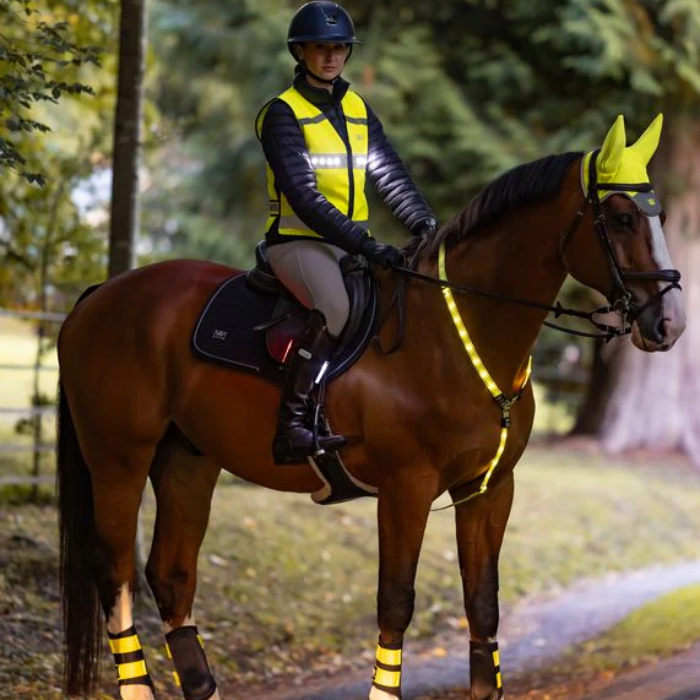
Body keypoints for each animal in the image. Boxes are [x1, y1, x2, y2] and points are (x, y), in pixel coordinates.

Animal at [56, 114, 685, 700]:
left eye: (658, 216)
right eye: (623, 218)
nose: (669, 323)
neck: (455, 335)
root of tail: (100, 295)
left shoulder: (488, 489)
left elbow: (482, 604)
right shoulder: (407, 488)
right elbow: (396, 601)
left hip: (187, 460)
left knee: (171, 575)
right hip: (118, 460)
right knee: (115, 572)